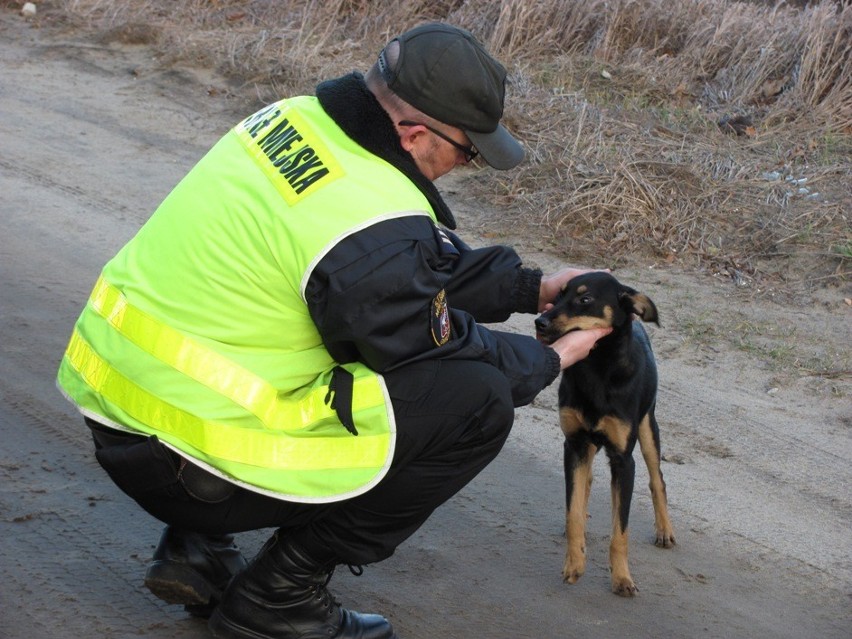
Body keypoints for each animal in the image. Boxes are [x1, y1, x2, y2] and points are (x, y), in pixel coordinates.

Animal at [536, 272, 676, 596]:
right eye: (558, 295)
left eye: (585, 299)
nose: (540, 322)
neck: (596, 370)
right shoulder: (574, 444)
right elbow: (573, 512)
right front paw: (575, 562)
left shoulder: (624, 460)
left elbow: (620, 531)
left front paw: (622, 578)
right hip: (588, 444)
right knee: (586, 481)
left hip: (648, 427)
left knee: (657, 479)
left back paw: (664, 530)